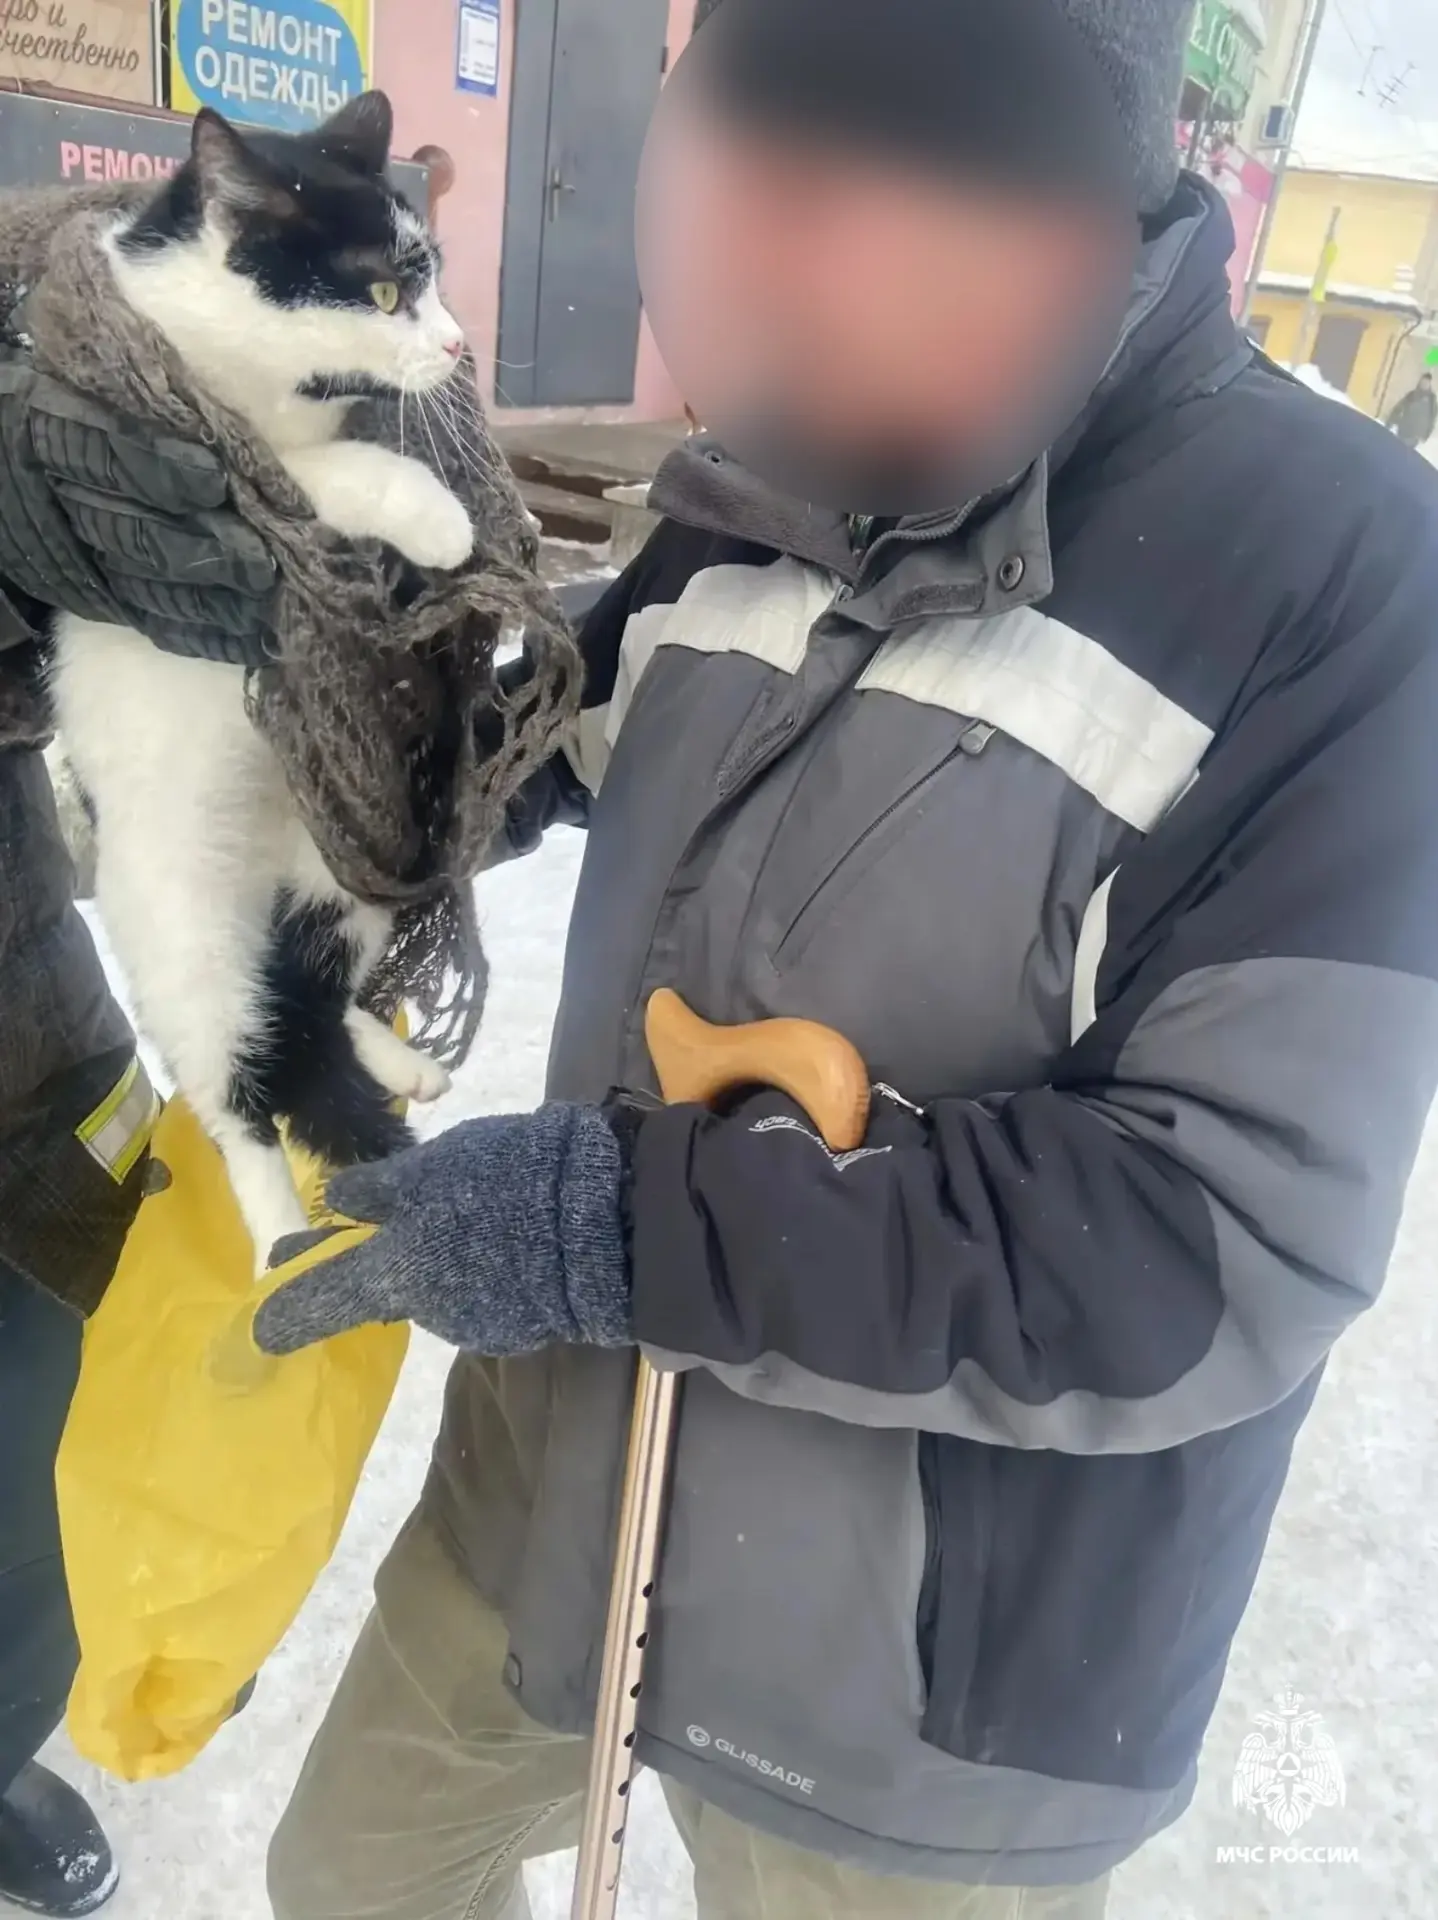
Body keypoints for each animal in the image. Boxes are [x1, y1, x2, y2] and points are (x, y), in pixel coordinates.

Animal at [49, 93, 476, 1270]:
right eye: (382, 290)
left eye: (430, 278)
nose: (458, 342)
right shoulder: (199, 469)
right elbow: (312, 474)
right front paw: (437, 513)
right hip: (183, 942)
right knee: (238, 1092)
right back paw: (280, 1239)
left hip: (348, 858)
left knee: (312, 995)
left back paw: (392, 1056)